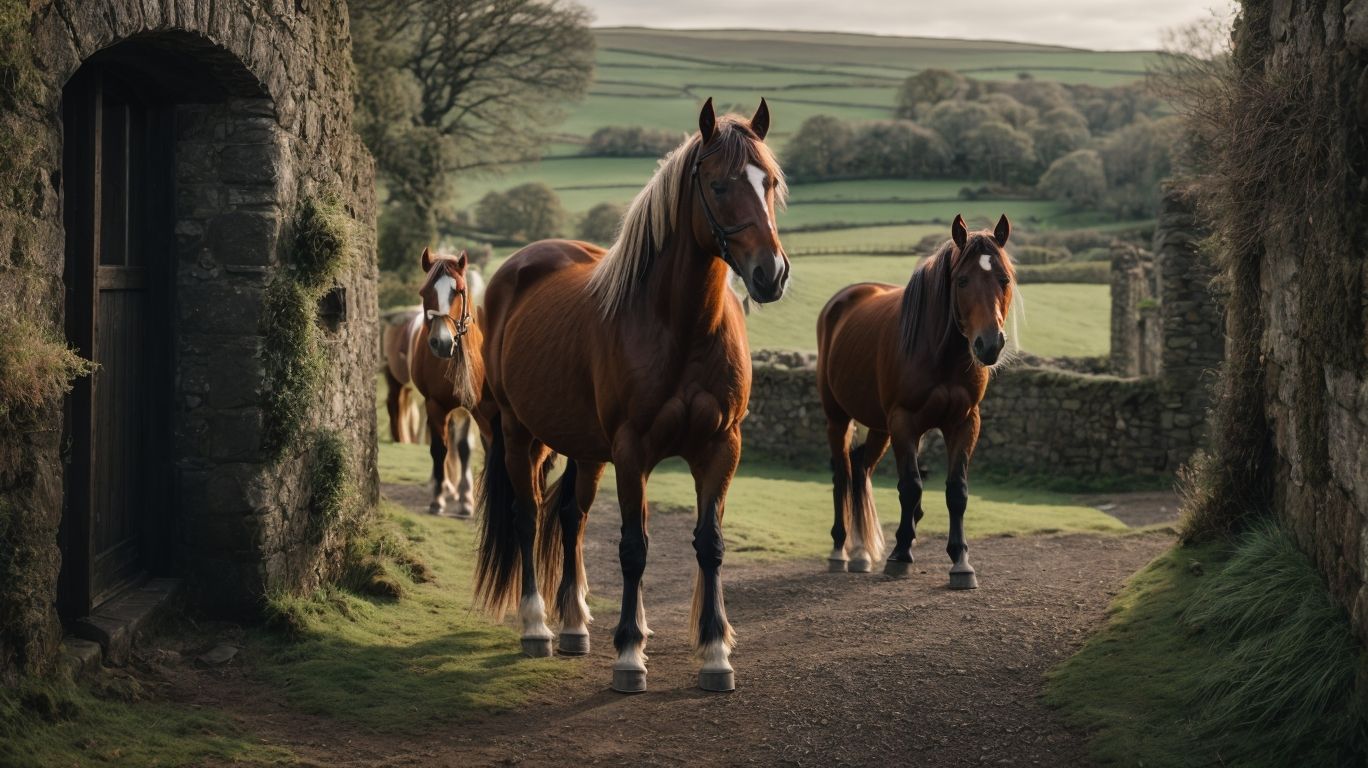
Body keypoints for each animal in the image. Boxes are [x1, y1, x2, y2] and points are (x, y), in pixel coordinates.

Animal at [384, 248, 486, 517]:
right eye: (424, 292)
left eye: (459, 291)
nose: (442, 342)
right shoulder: (435, 404)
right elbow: (439, 449)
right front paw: (438, 498)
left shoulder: (469, 408)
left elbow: (464, 449)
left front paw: (466, 499)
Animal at [473, 98, 789, 694]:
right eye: (719, 185)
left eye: (772, 183)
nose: (771, 274)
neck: (678, 326)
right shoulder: (631, 450)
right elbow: (633, 547)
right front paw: (628, 655)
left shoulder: (721, 447)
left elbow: (709, 544)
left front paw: (715, 652)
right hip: (519, 434)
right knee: (528, 517)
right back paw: (538, 627)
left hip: (583, 447)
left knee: (570, 517)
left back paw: (574, 626)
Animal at [816, 214, 1015, 589]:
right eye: (962, 280)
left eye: (1004, 278)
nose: (990, 344)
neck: (939, 352)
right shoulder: (904, 422)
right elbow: (910, 487)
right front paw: (900, 555)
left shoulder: (964, 422)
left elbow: (956, 491)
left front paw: (961, 561)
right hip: (839, 418)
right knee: (842, 475)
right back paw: (840, 551)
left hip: (879, 426)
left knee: (860, 469)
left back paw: (861, 552)